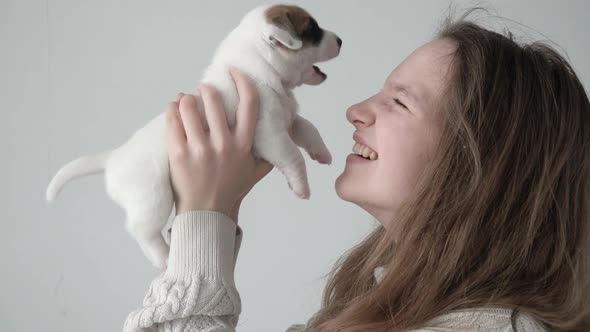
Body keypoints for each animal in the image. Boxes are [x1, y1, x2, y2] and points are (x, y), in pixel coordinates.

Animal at [46, 3, 342, 270]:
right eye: (312, 29)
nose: (340, 40)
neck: (254, 68)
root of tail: (114, 158)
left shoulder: (288, 121)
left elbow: (308, 129)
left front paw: (322, 152)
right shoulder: (271, 134)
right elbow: (293, 156)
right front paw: (301, 186)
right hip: (154, 197)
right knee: (141, 230)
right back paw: (163, 257)